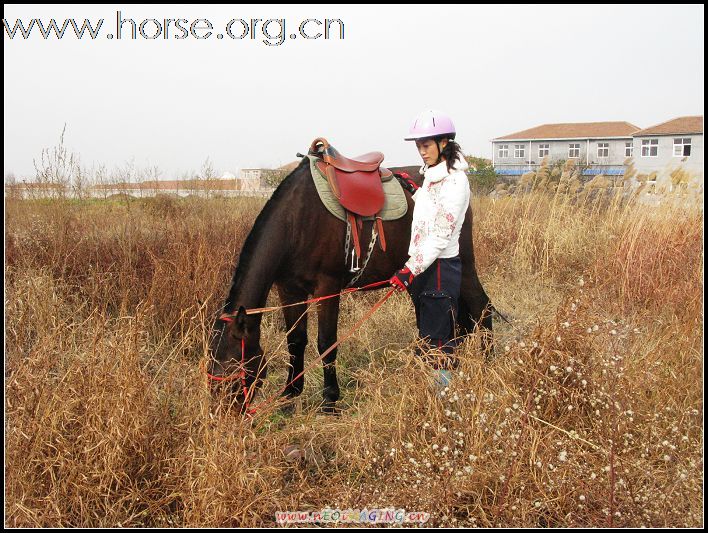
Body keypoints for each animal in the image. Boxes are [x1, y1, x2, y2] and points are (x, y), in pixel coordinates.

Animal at [207, 156, 490, 414]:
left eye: (235, 370)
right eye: (211, 371)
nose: (223, 420)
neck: (297, 220)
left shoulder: (327, 288)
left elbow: (326, 343)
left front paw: (330, 400)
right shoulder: (289, 290)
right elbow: (295, 341)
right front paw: (290, 395)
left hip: (462, 262)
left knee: (481, 306)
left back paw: (487, 362)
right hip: (417, 271)